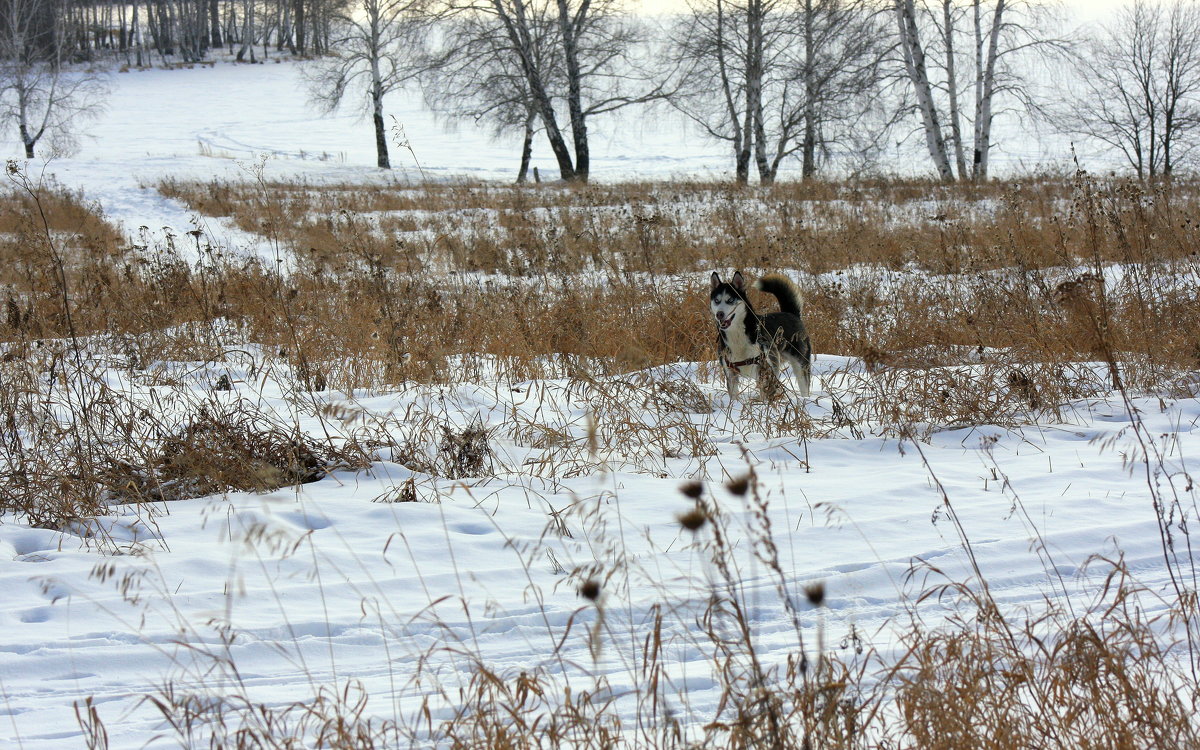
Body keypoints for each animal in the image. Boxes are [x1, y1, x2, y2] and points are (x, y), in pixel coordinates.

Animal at [705, 268, 811, 398]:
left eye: (730, 300)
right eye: (716, 301)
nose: (719, 314)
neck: (737, 337)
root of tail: (790, 313)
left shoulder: (765, 370)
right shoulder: (731, 374)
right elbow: (734, 397)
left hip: (801, 366)